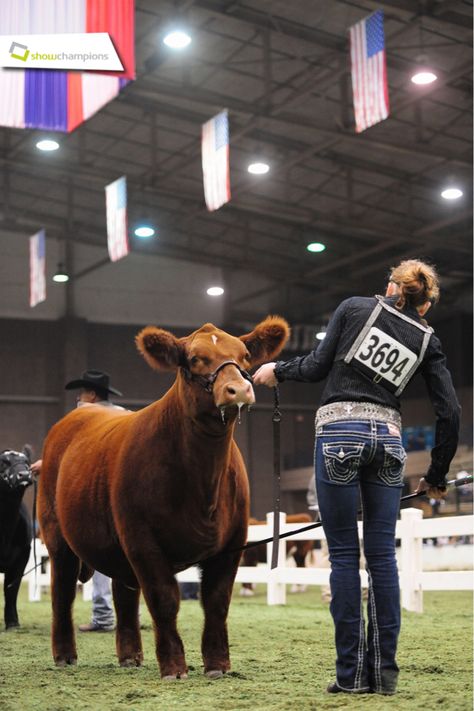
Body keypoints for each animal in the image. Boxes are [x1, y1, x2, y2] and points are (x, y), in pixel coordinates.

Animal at [38, 318, 288, 680]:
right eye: (195, 358)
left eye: (244, 356)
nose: (238, 389)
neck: (201, 484)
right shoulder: (141, 538)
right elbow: (164, 598)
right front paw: (173, 666)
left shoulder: (233, 541)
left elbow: (217, 600)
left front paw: (218, 664)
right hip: (57, 535)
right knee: (62, 592)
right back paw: (64, 655)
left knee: (123, 595)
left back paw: (130, 655)